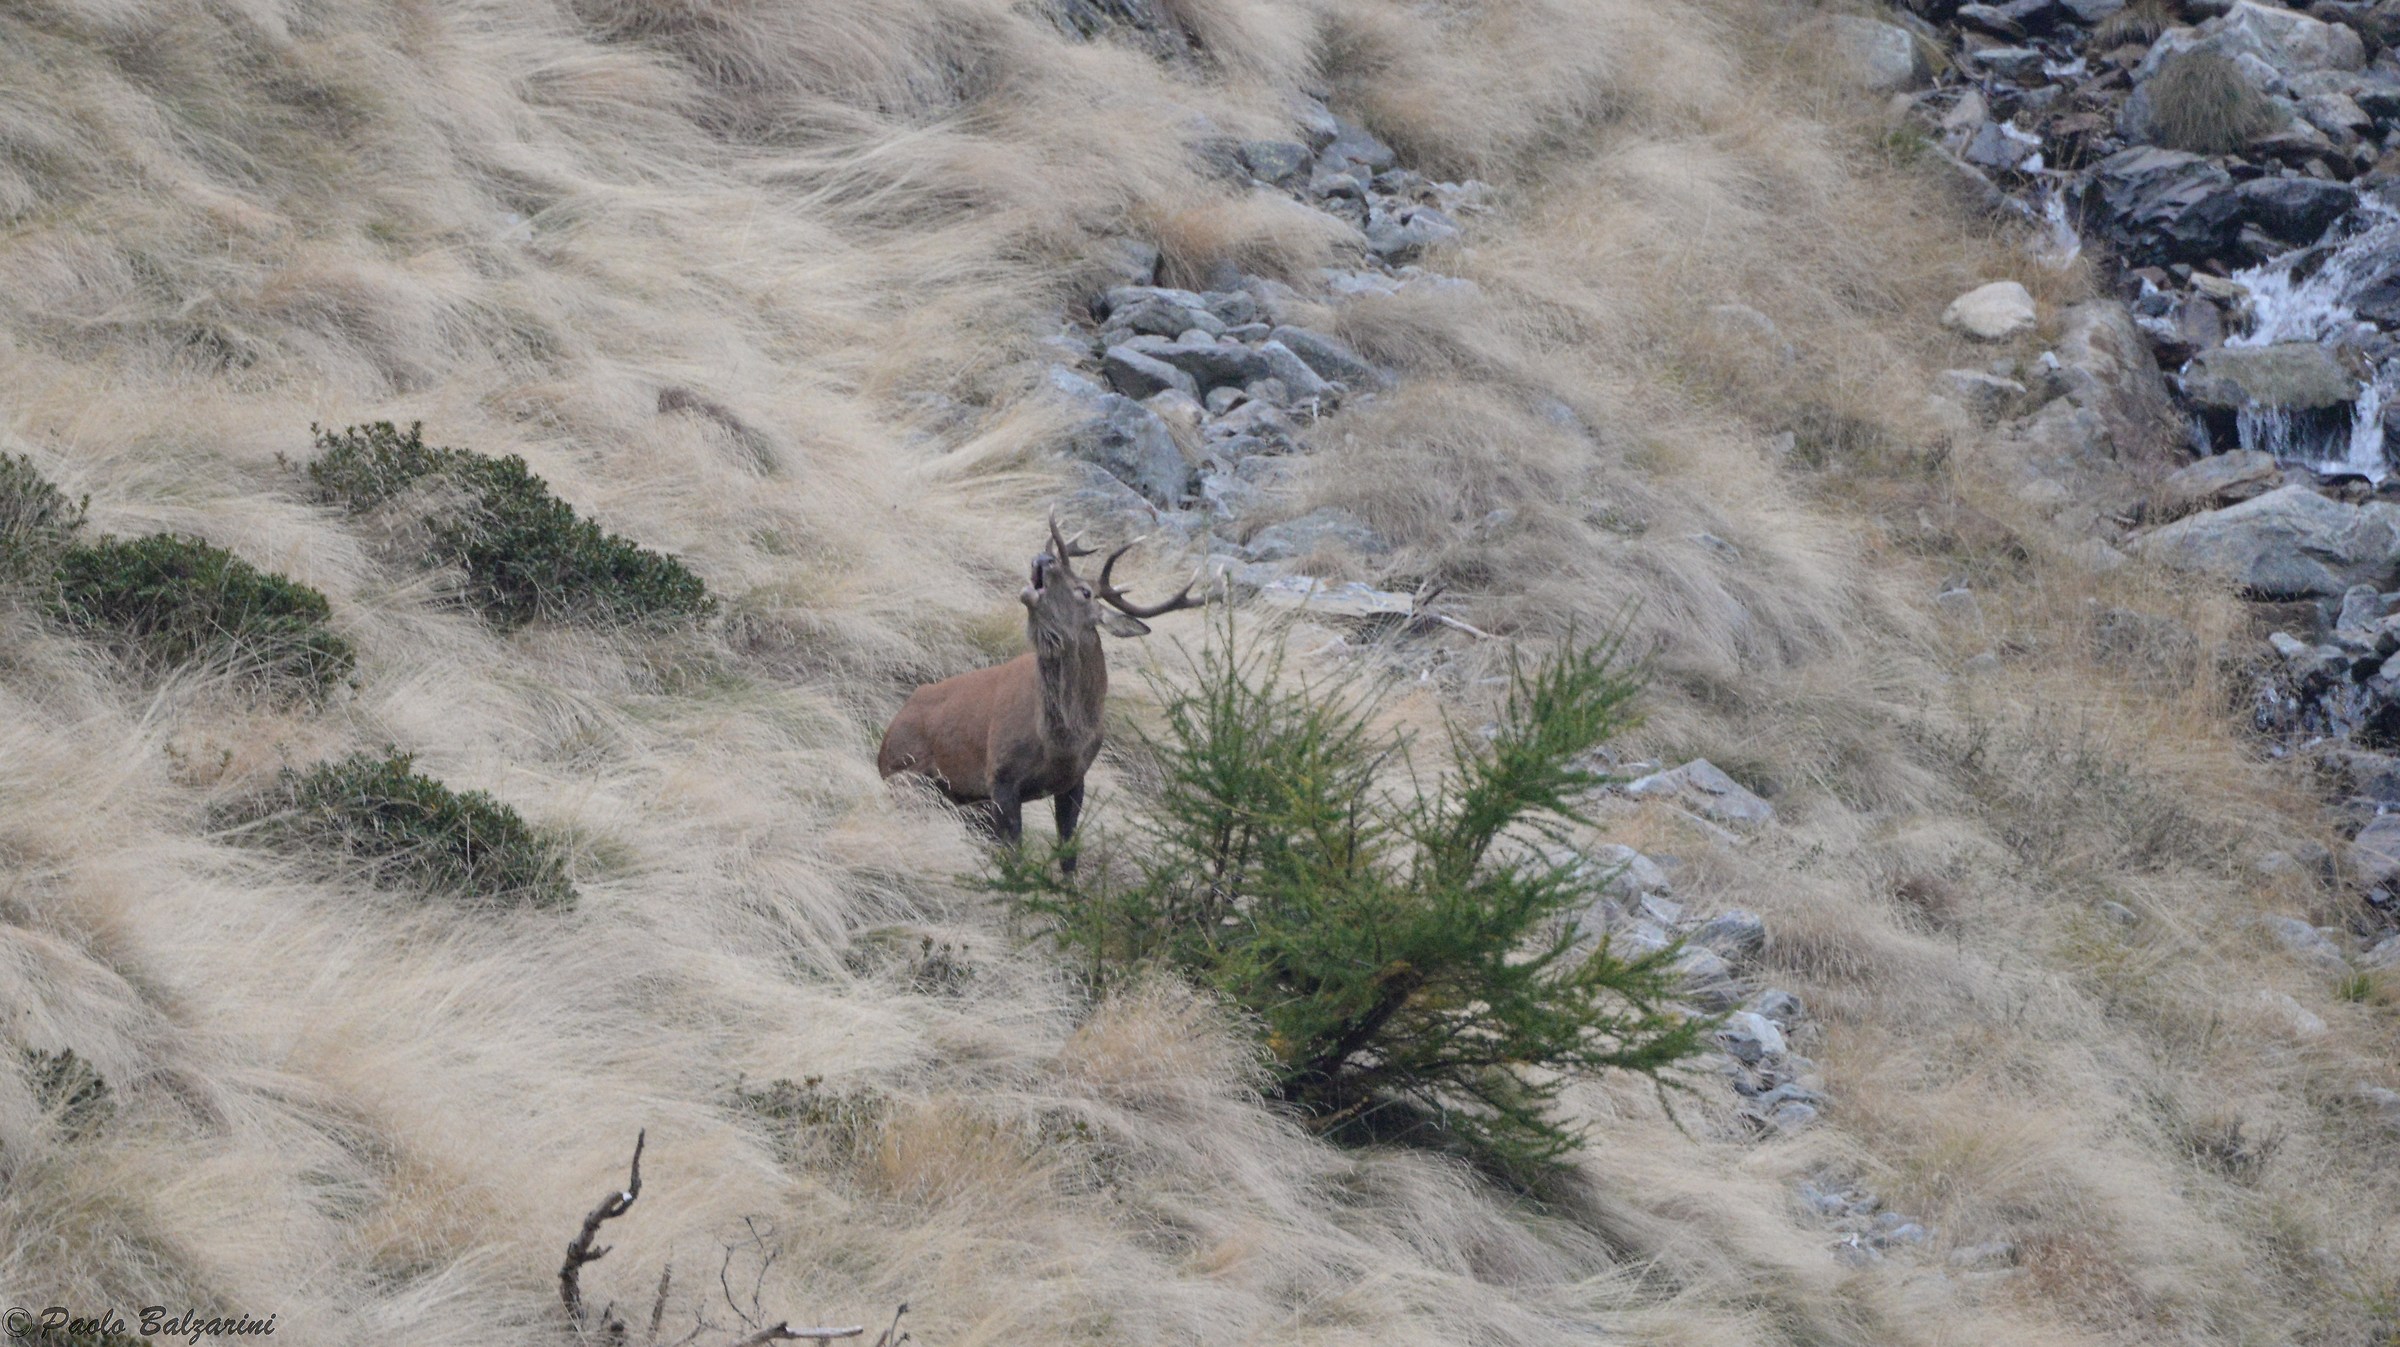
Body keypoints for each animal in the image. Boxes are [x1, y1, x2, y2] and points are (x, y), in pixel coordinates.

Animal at [878, 515, 1207, 871]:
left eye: (1085, 591)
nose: (1044, 558)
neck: (1059, 742)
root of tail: (886, 737)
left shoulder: (1074, 781)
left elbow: (1068, 856)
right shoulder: (1000, 778)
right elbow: (1013, 859)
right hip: (905, 772)